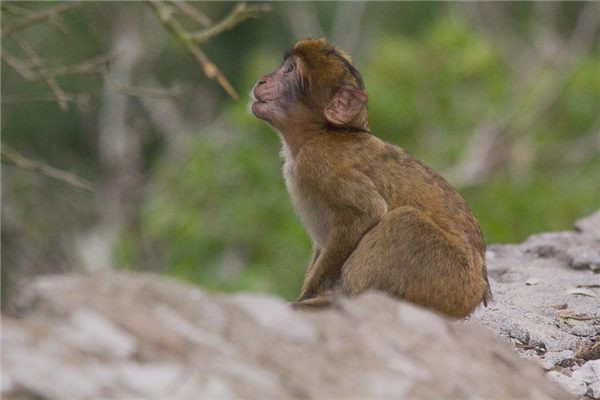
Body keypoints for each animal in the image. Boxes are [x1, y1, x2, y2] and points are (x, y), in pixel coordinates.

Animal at [251, 38, 491, 318]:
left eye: (289, 71)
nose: (262, 80)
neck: (323, 132)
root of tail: (477, 292)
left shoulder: (318, 158)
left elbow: (366, 213)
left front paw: (308, 296)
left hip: (449, 281)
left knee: (405, 222)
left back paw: (338, 301)